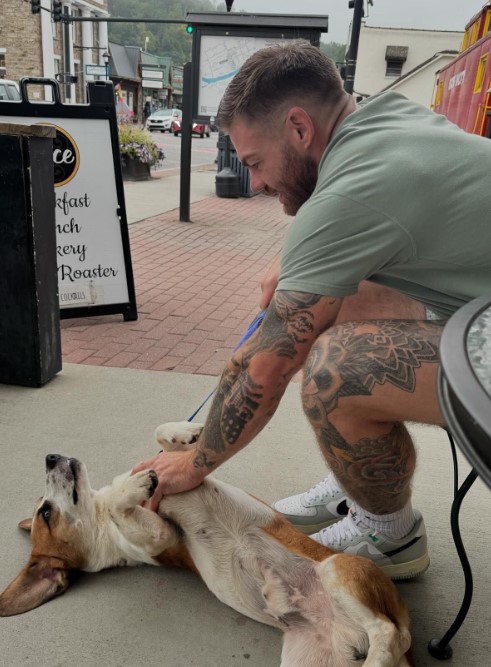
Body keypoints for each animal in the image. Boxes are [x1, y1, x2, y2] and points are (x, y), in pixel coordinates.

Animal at [0, 422, 416, 667]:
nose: (50, 456)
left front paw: (187, 432)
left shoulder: (182, 469)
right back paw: (377, 658)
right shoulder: (160, 537)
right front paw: (133, 487)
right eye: (46, 512)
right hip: (334, 582)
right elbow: (125, 506)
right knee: (391, 633)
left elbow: (164, 438)